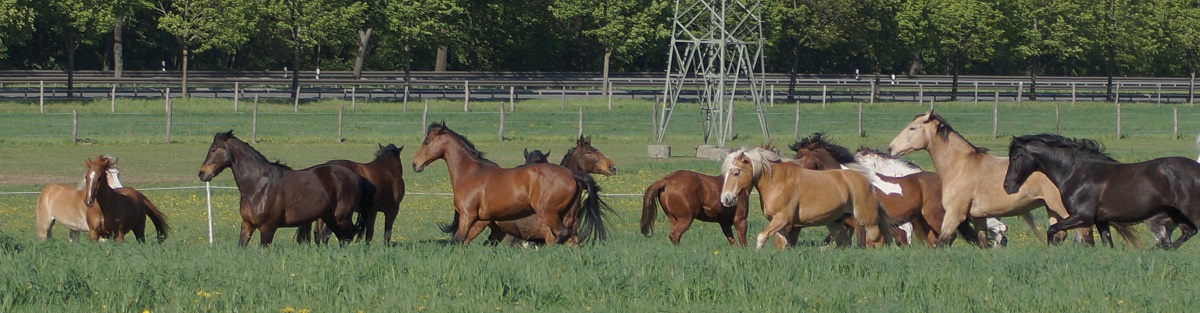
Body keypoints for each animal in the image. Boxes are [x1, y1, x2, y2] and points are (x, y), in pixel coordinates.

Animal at [196, 129, 369, 245]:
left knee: (350, 234)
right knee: (343, 236)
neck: (258, 187)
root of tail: (356, 178)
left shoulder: (268, 228)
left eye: (214, 149)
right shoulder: (247, 225)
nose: (202, 173)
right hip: (329, 218)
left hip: (341, 217)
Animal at [415, 121, 609, 243]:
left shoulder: (467, 215)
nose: (415, 164)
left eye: (426, 142)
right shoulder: (477, 220)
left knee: (561, 236)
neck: (470, 172)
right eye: (590, 152)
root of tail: (572, 174)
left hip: (549, 215)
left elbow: (457, 240)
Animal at [710, 145, 892, 248]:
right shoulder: (780, 225)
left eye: (736, 173)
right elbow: (783, 244)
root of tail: (867, 182)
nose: (726, 199)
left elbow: (761, 238)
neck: (776, 181)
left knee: (877, 240)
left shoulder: (782, 219)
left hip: (867, 221)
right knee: (844, 241)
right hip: (835, 223)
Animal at [888, 109, 1137, 245]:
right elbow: (982, 242)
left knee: (1084, 235)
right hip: (1052, 210)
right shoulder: (978, 217)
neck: (960, 166)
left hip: (1067, 211)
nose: (891, 148)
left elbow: (941, 241)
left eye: (912, 128)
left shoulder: (954, 214)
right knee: (1061, 235)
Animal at [1003, 133, 1200, 248]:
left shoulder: (1083, 217)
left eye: (1016, 156)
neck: (1079, 173)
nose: (1007, 186)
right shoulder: (1101, 221)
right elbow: (1107, 244)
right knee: (1187, 233)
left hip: (1190, 212)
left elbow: (1052, 230)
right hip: (1176, 214)